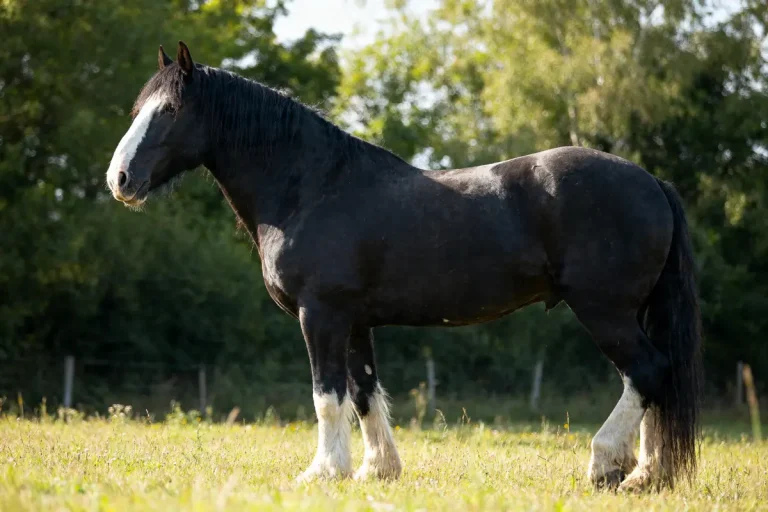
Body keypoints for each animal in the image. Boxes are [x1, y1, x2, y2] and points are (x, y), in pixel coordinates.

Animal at [106, 42, 702, 492]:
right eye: (139, 109)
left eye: (170, 111)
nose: (120, 180)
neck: (311, 188)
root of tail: (651, 182)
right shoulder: (355, 322)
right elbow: (364, 392)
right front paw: (377, 470)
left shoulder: (320, 315)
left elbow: (327, 396)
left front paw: (323, 472)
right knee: (656, 382)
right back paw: (647, 474)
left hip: (605, 310)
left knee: (646, 372)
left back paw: (609, 466)